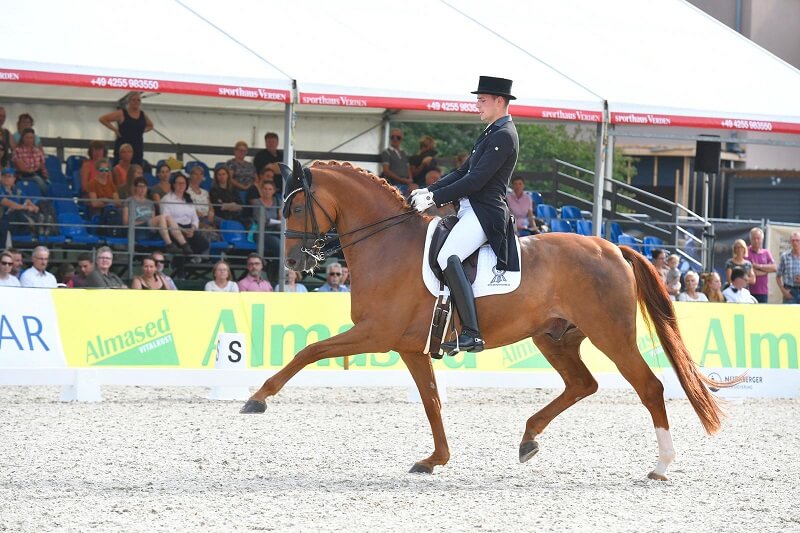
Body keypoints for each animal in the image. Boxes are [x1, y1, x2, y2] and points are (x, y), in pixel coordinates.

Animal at [241, 160, 736, 480]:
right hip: (554, 337)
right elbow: (432, 402)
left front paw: (257, 399)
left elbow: (310, 350)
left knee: (648, 387)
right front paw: (435, 460)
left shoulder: (375, 334)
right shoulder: (409, 346)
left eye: (296, 207)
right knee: (582, 384)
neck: (387, 245)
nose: (293, 263)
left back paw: (661, 466)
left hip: (611, 335)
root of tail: (612, 245)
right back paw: (528, 439)